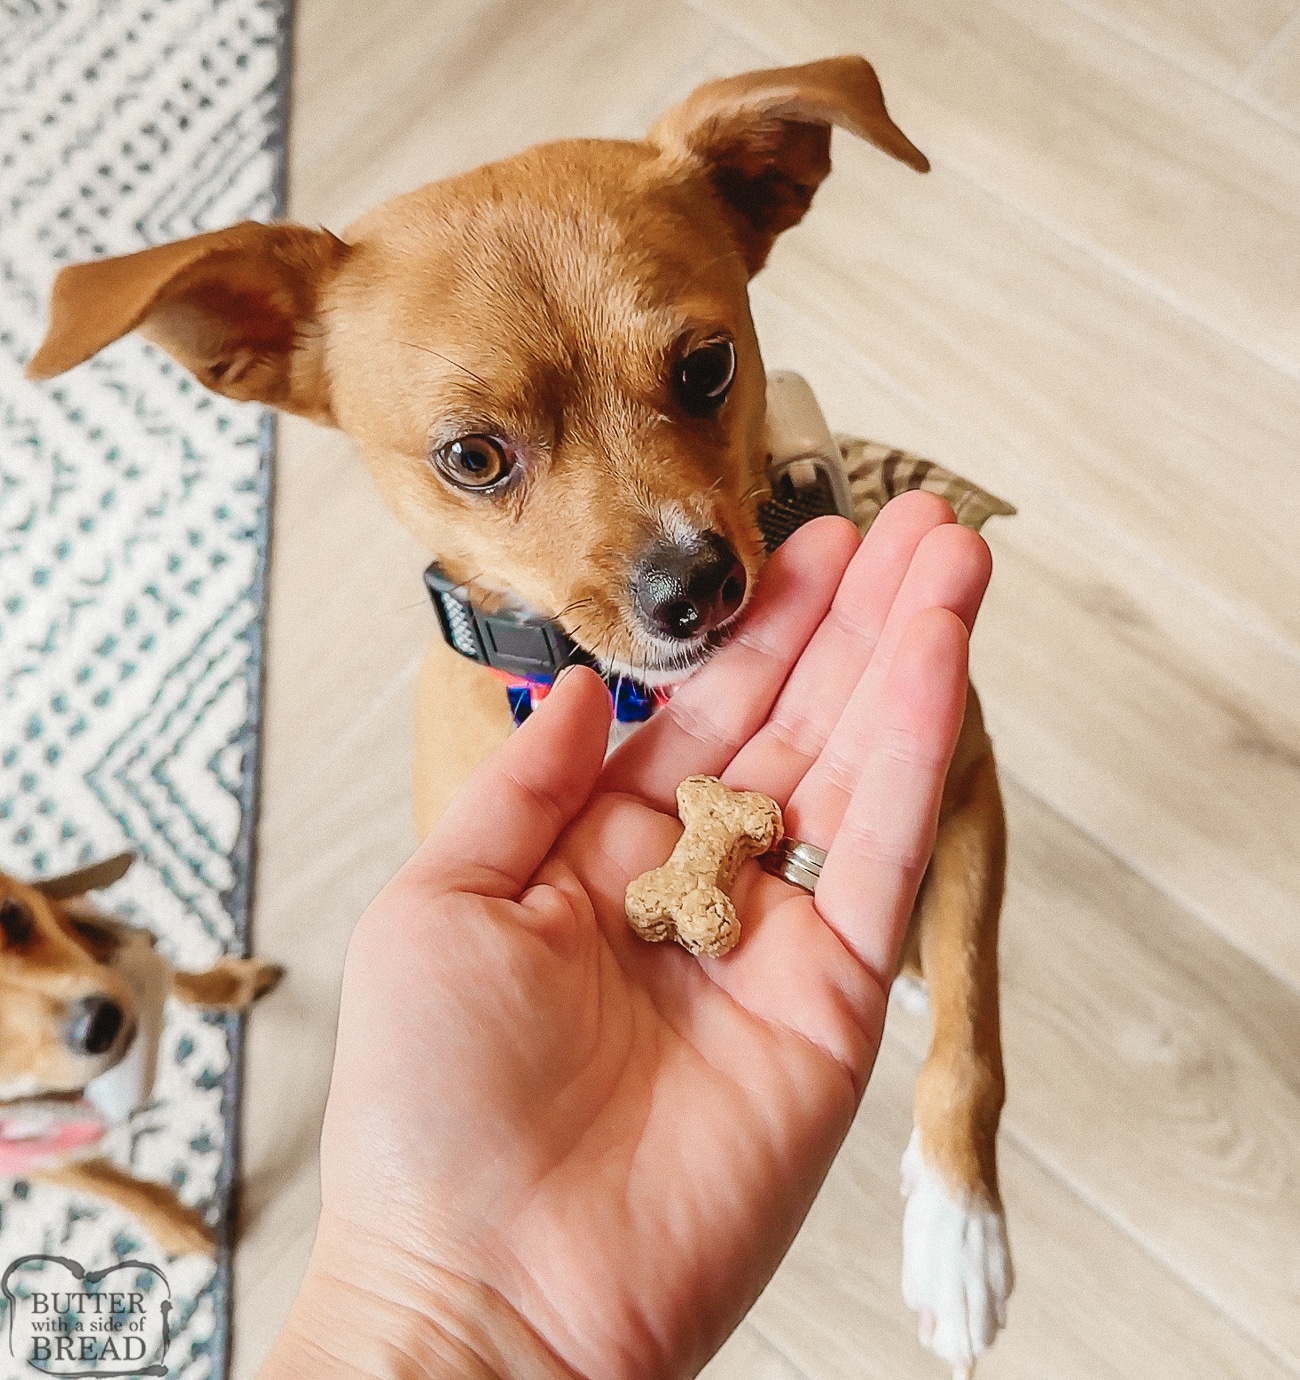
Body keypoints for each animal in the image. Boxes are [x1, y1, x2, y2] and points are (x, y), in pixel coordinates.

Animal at [1, 855, 281, 1258]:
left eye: (11, 914)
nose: (99, 1023)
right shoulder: (28, 1151)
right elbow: (119, 1187)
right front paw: (177, 1227)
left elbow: (160, 968)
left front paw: (224, 985)